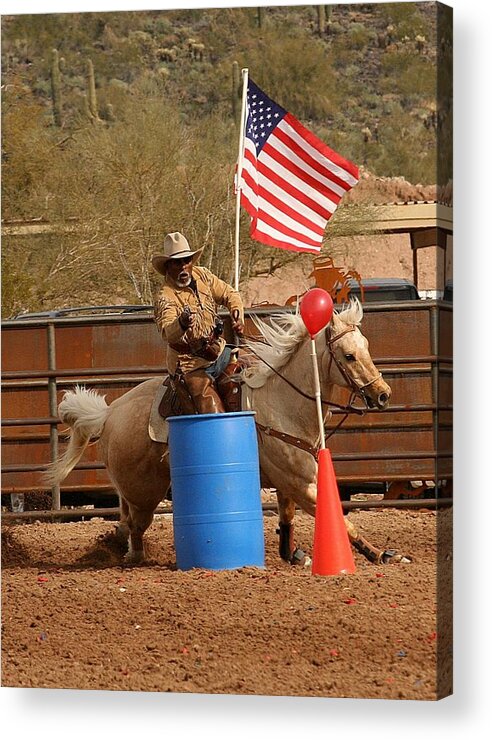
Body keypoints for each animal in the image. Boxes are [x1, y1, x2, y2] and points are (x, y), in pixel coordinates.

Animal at [46, 300, 408, 568]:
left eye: (366, 347)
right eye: (349, 355)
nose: (383, 394)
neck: (283, 403)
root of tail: (110, 413)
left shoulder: (289, 482)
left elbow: (288, 518)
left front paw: (294, 555)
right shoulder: (300, 483)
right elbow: (343, 522)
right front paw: (381, 554)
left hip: (134, 491)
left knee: (124, 522)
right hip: (145, 493)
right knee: (136, 526)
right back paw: (133, 555)